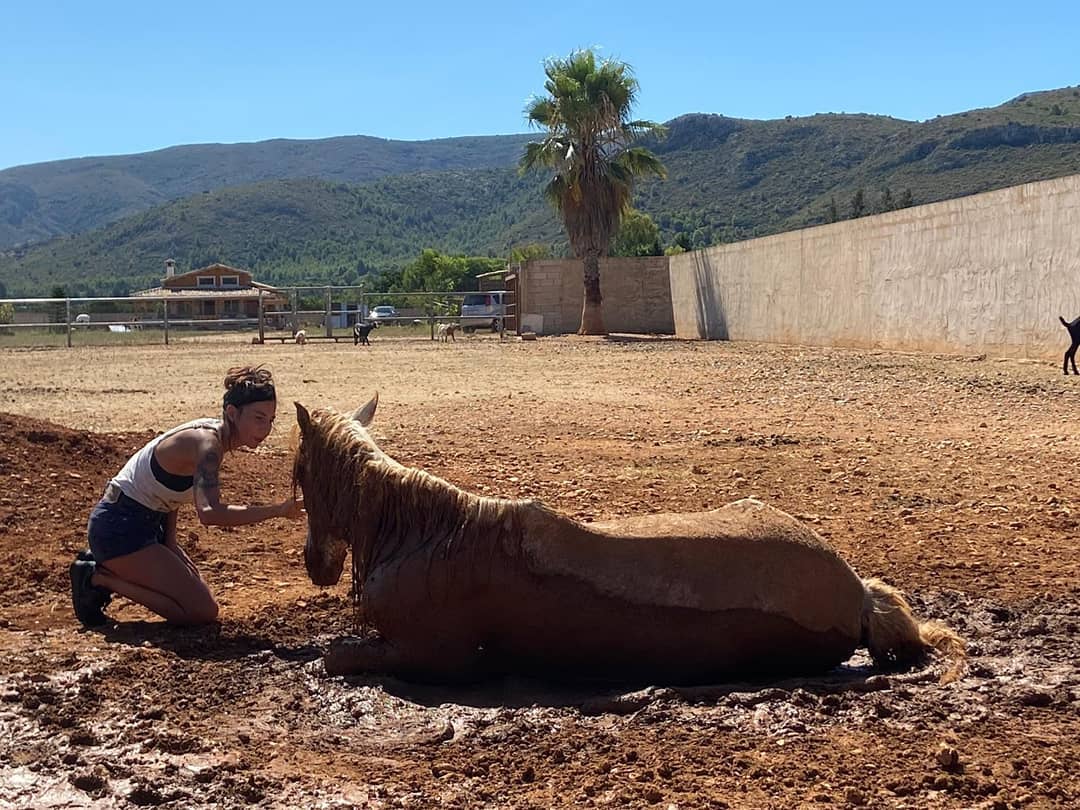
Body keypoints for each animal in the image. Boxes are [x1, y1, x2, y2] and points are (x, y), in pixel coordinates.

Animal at [292, 396, 965, 684]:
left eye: (299, 474)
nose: (315, 564)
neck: (426, 534)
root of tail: (855, 591)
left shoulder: (433, 654)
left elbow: (338, 656)